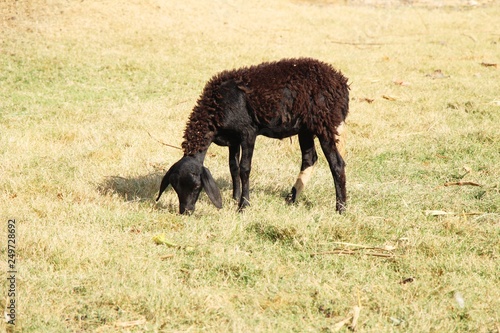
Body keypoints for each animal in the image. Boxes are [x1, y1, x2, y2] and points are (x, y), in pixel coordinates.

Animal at [155, 58, 348, 214]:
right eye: (174, 186)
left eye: (197, 186)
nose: (186, 211)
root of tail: (342, 82)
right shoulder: (232, 138)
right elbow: (233, 167)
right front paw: (235, 197)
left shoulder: (248, 133)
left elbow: (244, 168)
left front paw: (243, 205)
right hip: (306, 128)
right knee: (309, 159)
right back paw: (291, 199)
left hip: (325, 124)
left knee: (337, 164)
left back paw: (341, 208)